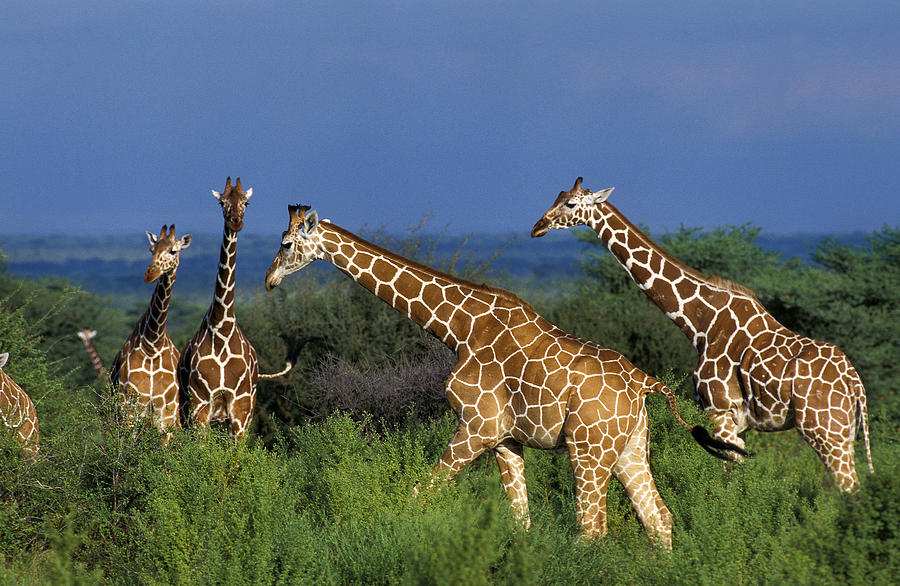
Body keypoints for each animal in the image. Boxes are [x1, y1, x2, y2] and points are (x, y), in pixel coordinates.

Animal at [110, 224, 192, 438]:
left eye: (173, 251)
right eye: (151, 250)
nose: (150, 274)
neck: (153, 342)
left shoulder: (166, 414)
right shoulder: (129, 408)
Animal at [181, 177, 294, 438]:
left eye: (246, 202)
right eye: (221, 202)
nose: (236, 221)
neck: (221, 327)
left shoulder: (241, 410)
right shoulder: (200, 406)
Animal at [260, 203, 740, 544]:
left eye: (284, 244)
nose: (268, 280)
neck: (459, 328)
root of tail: (645, 383)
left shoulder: (476, 427)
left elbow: (419, 494)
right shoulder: (507, 439)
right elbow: (520, 522)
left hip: (588, 449)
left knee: (593, 529)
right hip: (630, 448)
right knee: (659, 519)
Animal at [532, 176, 876, 490]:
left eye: (570, 204)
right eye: (557, 196)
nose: (537, 227)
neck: (701, 324)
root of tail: (855, 382)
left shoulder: (719, 410)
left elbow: (730, 481)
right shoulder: (738, 423)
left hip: (825, 428)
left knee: (849, 487)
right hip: (844, 429)